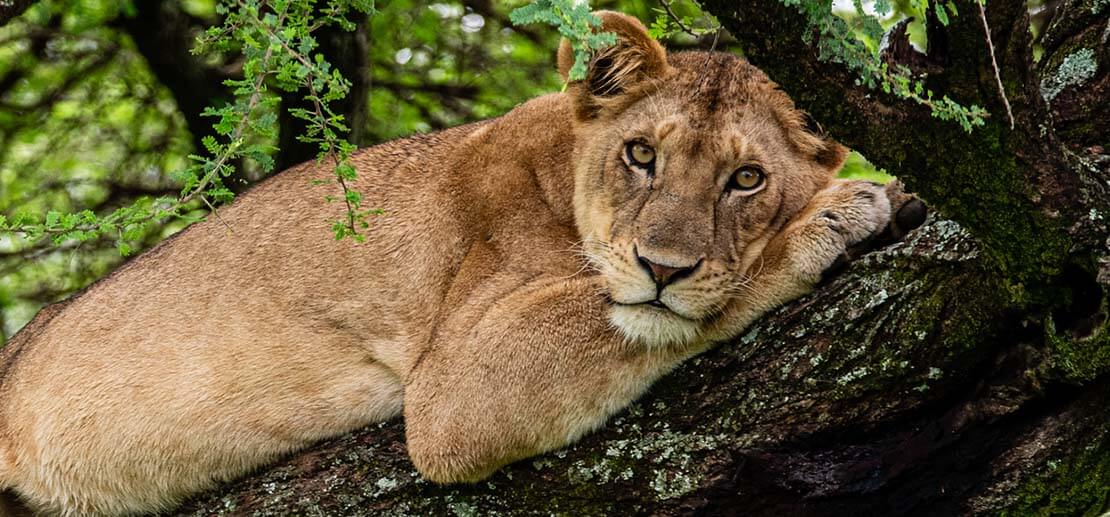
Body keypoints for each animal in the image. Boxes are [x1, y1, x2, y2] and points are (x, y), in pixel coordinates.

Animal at [0, 12, 910, 517]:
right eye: (641, 154)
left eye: (746, 178)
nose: (663, 266)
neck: (560, 165)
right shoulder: (452, 397)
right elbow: (662, 311)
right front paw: (838, 212)